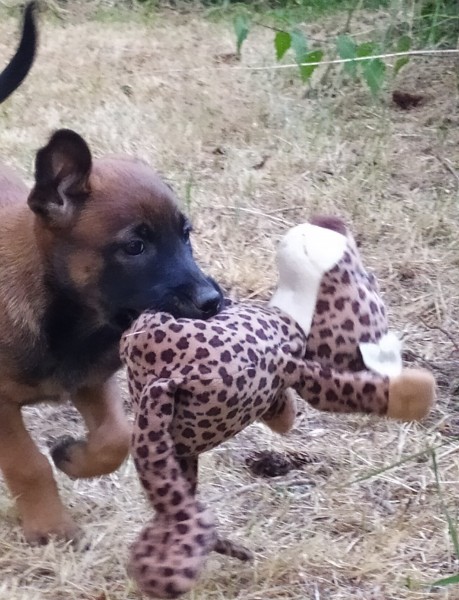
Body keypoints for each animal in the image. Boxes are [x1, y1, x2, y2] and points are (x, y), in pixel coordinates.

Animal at [0, 8, 223, 545]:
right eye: (135, 247)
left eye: (186, 235)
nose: (213, 301)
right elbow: (26, 463)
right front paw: (49, 526)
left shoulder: (92, 380)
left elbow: (116, 439)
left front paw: (74, 458)